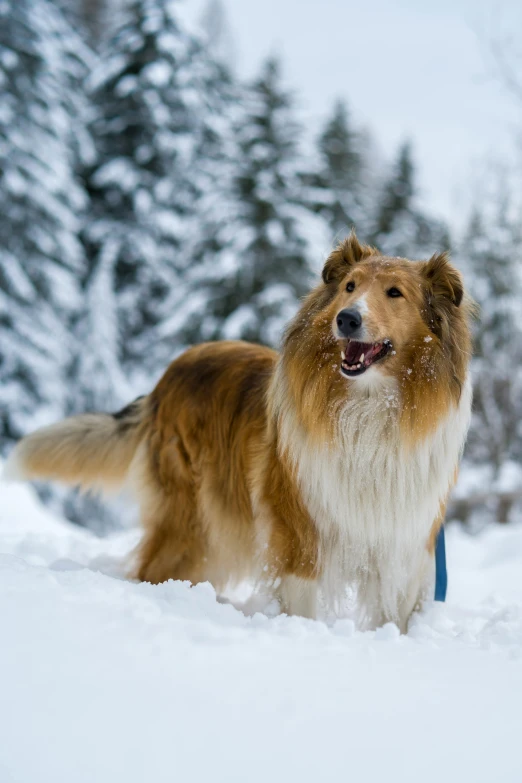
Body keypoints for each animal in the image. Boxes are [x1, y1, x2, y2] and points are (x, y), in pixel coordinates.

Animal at [5, 231, 472, 632]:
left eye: (395, 293)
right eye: (350, 286)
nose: (347, 319)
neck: (370, 409)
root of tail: (168, 375)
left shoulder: (401, 547)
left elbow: (393, 618)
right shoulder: (298, 531)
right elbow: (301, 603)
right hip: (193, 516)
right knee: (154, 566)